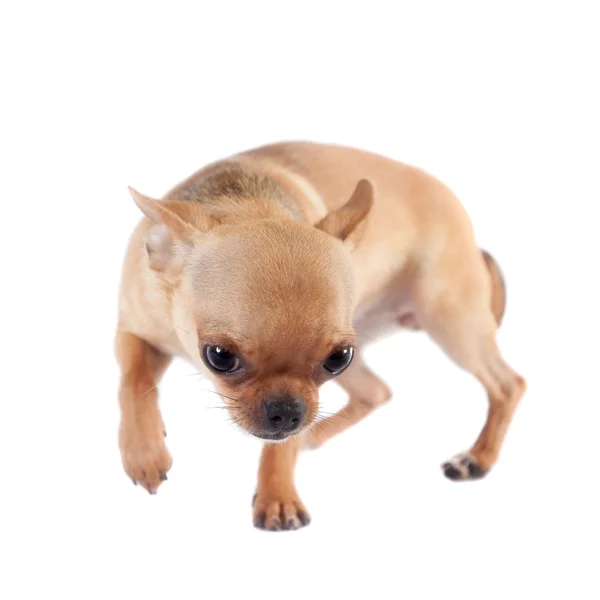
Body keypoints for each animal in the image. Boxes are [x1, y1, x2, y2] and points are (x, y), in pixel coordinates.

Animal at [116, 141, 524, 528]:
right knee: (376, 391)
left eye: (336, 360)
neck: (246, 203)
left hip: (450, 320)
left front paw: (277, 497)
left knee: (508, 384)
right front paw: (144, 453)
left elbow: (281, 446)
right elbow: (134, 382)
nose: (287, 412)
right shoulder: (134, 331)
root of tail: (474, 242)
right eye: (219, 356)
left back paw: (477, 458)